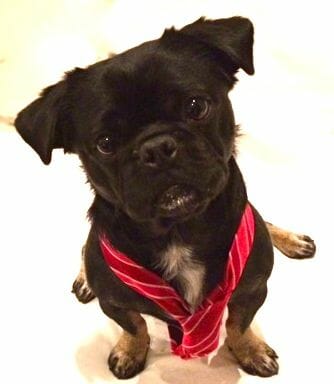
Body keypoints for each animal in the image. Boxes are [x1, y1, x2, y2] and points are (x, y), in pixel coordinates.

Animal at [15, 17, 316, 378]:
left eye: (196, 107)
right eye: (105, 143)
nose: (156, 147)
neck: (178, 230)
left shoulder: (254, 289)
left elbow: (239, 324)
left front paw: (250, 350)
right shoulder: (113, 303)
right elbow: (134, 326)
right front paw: (129, 351)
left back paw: (291, 239)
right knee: (85, 246)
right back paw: (84, 278)